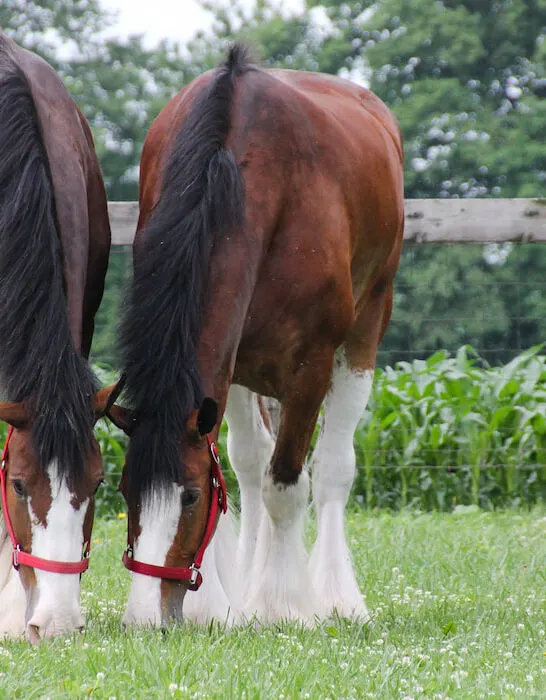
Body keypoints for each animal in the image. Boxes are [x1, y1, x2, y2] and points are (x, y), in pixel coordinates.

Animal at [112, 43, 404, 624]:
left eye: (189, 498)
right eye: (128, 491)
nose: (147, 616)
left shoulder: (311, 365)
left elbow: (286, 482)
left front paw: (283, 603)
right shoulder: (228, 366)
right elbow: (238, 470)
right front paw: (220, 604)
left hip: (364, 333)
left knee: (332, 467)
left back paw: (336, 595)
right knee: (250, 462)